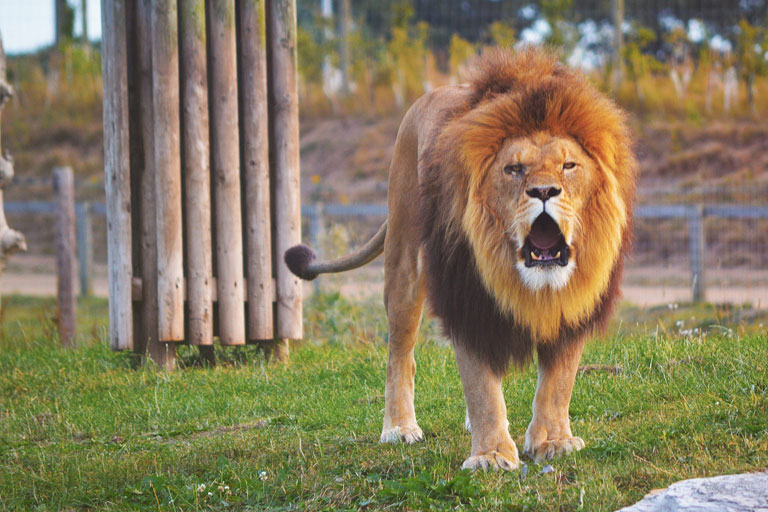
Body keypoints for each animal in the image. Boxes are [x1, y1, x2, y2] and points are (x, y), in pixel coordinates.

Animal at [286, 49, 636, 472]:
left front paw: (553, 442)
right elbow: (481, 385)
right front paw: (491, 455)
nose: (544, 191)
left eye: (569, 166)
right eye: (513, 169)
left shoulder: (574, 304)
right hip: (404, 263)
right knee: (399, 355)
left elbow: (559, 381)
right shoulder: (466, 297)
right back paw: (399, 428)